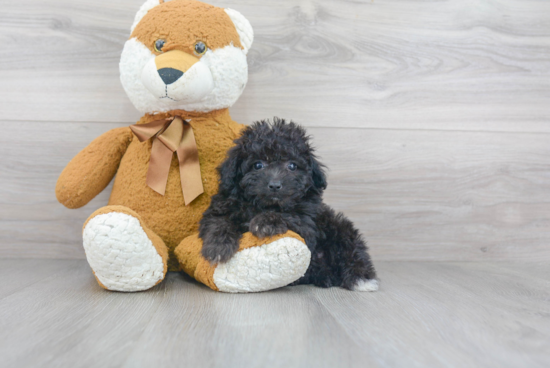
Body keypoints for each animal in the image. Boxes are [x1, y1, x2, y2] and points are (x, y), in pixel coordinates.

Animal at [199, 118, 380, 290]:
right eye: (258, 165)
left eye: (292, 166)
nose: (274, 185)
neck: (264, 205)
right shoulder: (221, 206)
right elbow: (218, 222)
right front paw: (218, 247)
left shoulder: (307, 222)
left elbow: (290, 216)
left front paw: (266, 222)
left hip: (338, 228)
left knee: (352, 249)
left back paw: (362, 279)